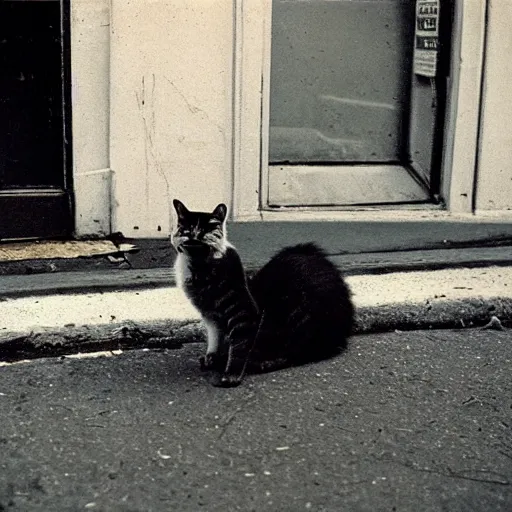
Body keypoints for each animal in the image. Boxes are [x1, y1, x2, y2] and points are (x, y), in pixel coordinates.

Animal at [171, 200, 352, 388]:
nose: (195, 236)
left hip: (300, 322)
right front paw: (211, 358)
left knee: (299, 353)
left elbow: (238, 347)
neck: (199, 267)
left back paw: (262, 363)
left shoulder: (241, 313)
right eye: (186, 229)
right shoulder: (210, 317)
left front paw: (230, 375)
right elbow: (215, 339)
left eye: (207, 230)